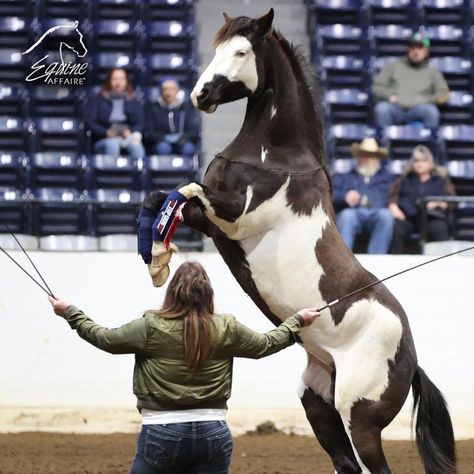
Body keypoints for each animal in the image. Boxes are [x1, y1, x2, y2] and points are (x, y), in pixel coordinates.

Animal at [143, 11, 456, 474]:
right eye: (218, 49)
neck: (277, 158)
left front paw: (160, 257)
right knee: (345, 462)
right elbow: (163, 197)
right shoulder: (214, 225)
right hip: (317, 400)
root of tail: (411, 359)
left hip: (361, 417)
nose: (201, 95)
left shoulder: (235, 218)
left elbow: (185, 190)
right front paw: (158, 261)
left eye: (241, 51)